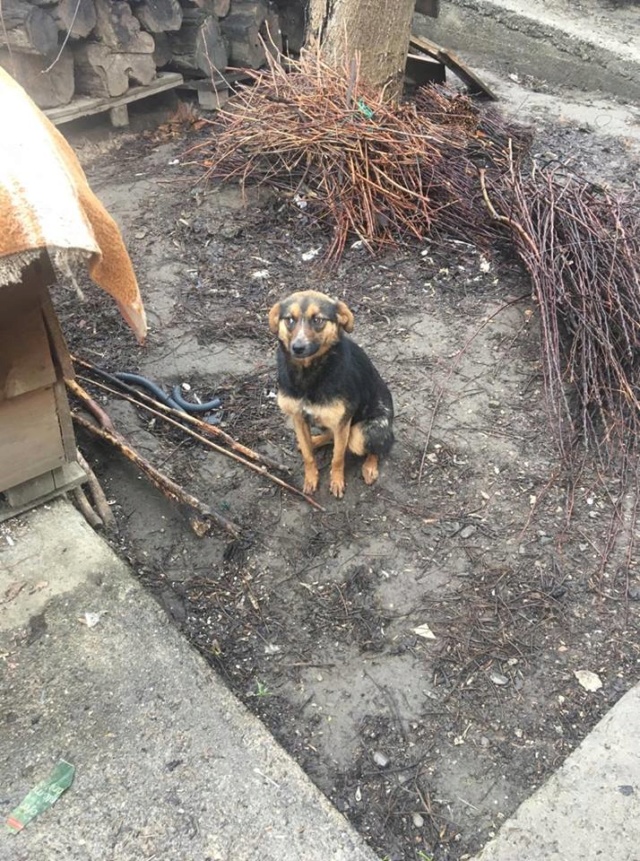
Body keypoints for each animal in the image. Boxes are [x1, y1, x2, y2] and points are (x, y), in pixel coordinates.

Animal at [268, 290, 392, 498]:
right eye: (290, 320)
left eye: (318, 319)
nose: (298, 348)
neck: (308, 374)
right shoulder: (298, 418)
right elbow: (308, 456)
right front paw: (311, 478)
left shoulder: (342, 422)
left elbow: (338, 457)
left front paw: (336, 481)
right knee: (329, 436)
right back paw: (315, 440)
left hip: (362, 432)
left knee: (376, 447)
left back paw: (369, 467)